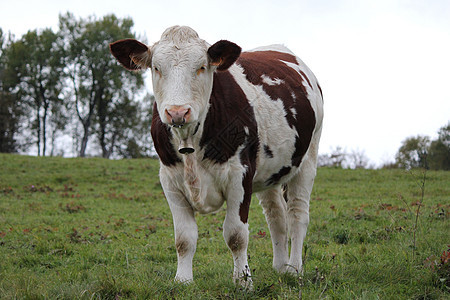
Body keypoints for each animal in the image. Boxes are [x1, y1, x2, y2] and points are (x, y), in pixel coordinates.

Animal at [111, 25, 324, 286]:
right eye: (156, 68)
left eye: (201, 66)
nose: (177, 112)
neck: (190, 142)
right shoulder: (169, 180)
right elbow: (184, 238)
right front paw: (183, 280)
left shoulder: (240, 175)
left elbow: (236, 235)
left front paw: (243, 281)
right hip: (270, 173)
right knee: (277, 217)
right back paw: (280, 267)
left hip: (308, 160)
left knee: (297, 215)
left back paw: (294, 269)